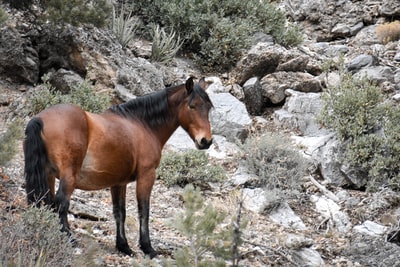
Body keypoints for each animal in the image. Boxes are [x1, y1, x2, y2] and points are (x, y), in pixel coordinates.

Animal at [23, 77, 214, 258]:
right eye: (192, 106)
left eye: (209, 107)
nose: (206, 141)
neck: (142, 125)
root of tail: (40, 118)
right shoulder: (146, 175)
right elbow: (143, 210)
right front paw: (148, 248)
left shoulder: (118, 183)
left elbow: (119, 212)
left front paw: (124, 246)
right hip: (68, 176)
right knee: (61, 202)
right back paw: (69, 238)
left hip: (48, 175)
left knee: (47, 201)